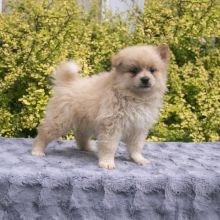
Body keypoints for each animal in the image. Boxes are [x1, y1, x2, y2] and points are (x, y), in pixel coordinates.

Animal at [31, 43, 169, 169]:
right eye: (133, 71)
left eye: (152, 70)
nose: (145, 79)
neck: (134, 97)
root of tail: (67, 83)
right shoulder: (111, 124)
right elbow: (109, 146)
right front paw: (107, 162)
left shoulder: (139, 127)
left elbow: (136, 146)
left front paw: (138, 159)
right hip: (60, 121)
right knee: (43, 132)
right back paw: (37, 150)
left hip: (83, 122)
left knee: (80, 136)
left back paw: (87, 148)